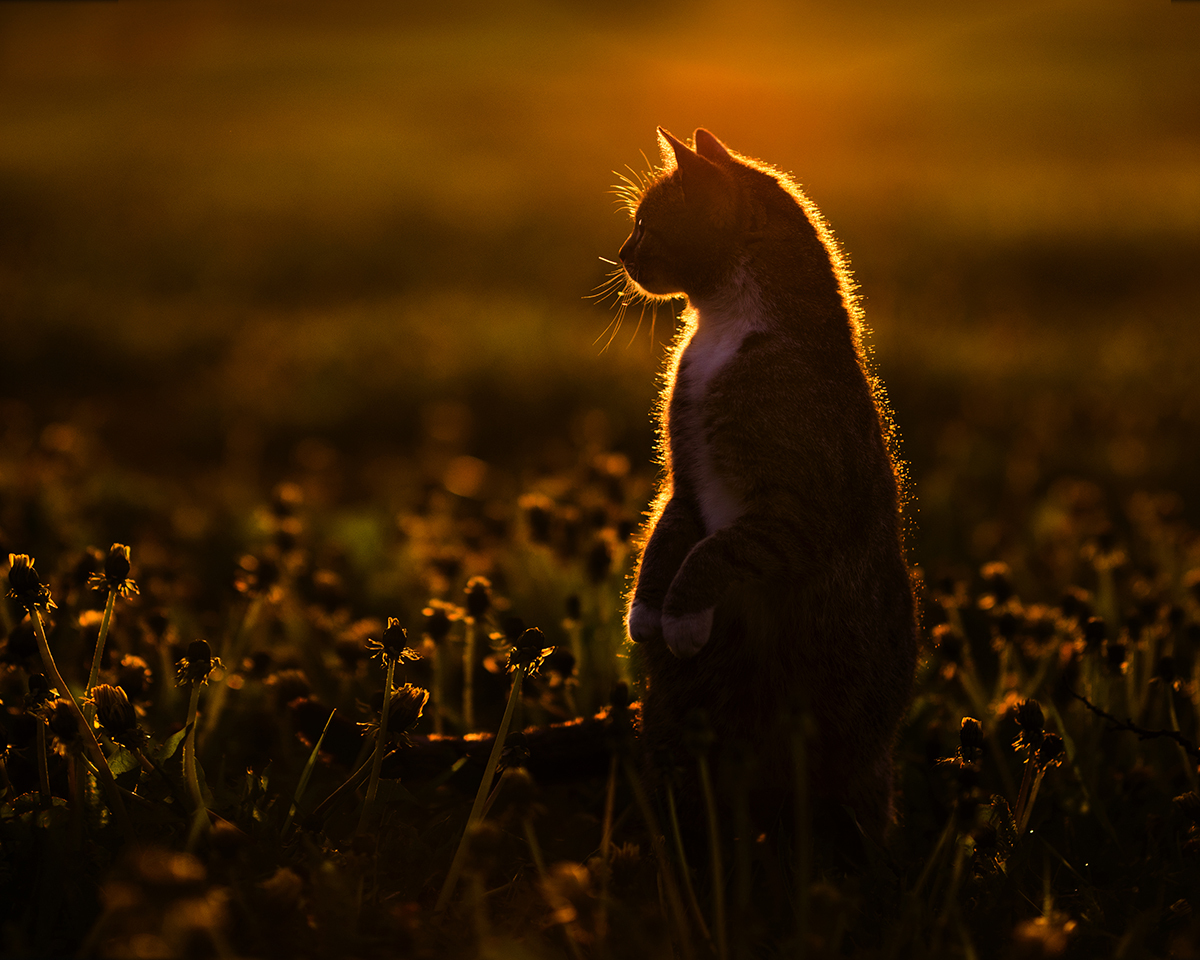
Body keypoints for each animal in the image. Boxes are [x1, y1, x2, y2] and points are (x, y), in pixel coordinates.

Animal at [619, 127, 916, 840]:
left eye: (645, 223)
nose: (620, 255)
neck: (723, 328)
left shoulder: (793, 509)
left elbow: (714, 550)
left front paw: (682, 619)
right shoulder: (683, 482)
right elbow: (666, 537)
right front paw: (645, 613)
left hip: (847, 738)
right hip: (685, 720)